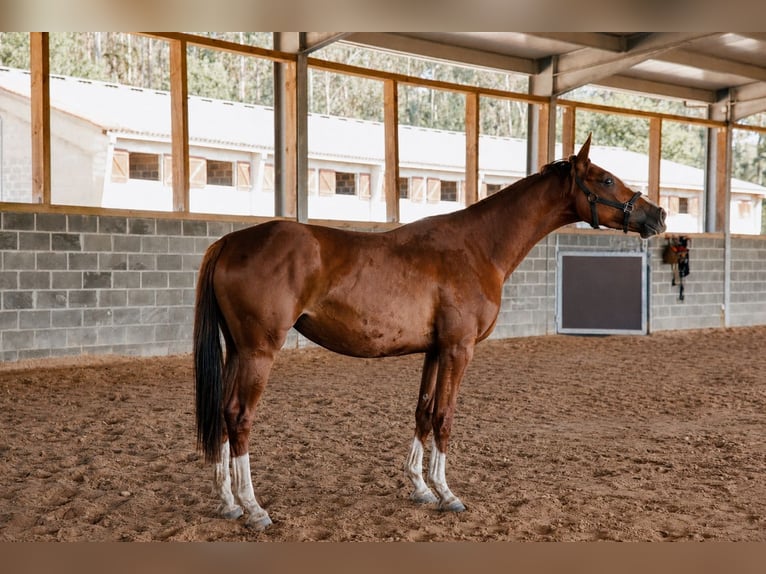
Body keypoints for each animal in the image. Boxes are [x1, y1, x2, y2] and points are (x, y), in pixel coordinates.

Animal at [193, 135, 667, 530]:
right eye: (606, 178)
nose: (658, 215)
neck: (477, 247)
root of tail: (230, 242)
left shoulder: (435, 350)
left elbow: (422, 412)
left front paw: (420, 487)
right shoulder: (459, 350)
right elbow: (445, 416)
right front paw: (446, 493)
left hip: (237, 350)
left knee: (221, 414)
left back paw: (228, 502)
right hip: (259, 352)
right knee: (239, 417)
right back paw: (253, 508)